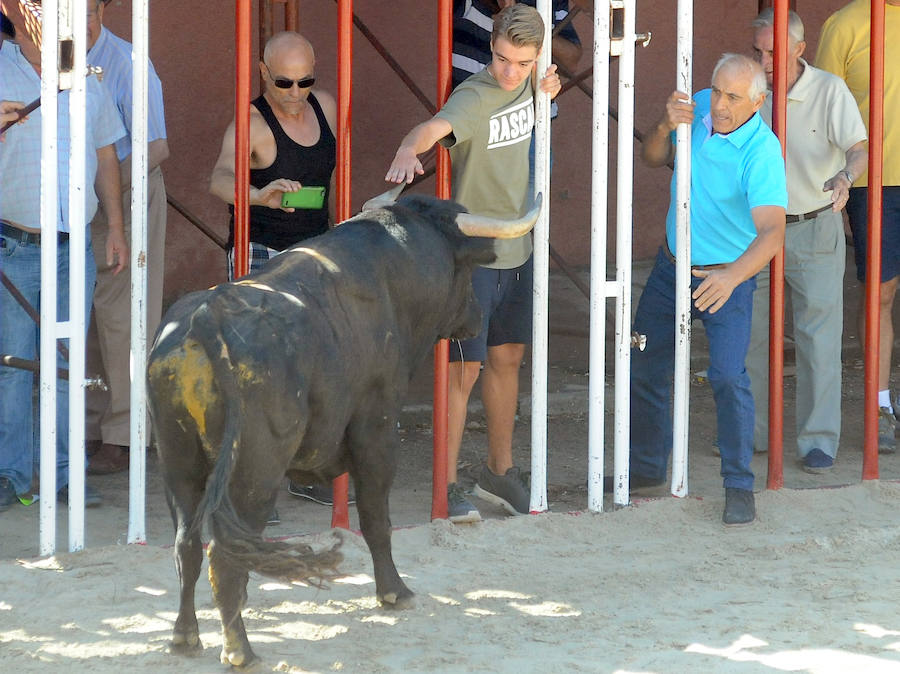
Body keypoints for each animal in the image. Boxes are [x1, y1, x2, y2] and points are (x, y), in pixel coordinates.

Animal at [148, 194, 520, 668]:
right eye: (468, 270)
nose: (475, 316)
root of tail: (205, 320)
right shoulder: (378, 429)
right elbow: (376, 517)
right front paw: (395, 592)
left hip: (178, 464)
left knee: (187, 546)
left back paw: (185, 637)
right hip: (254, 472)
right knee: (227, 553)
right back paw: (240, 650)